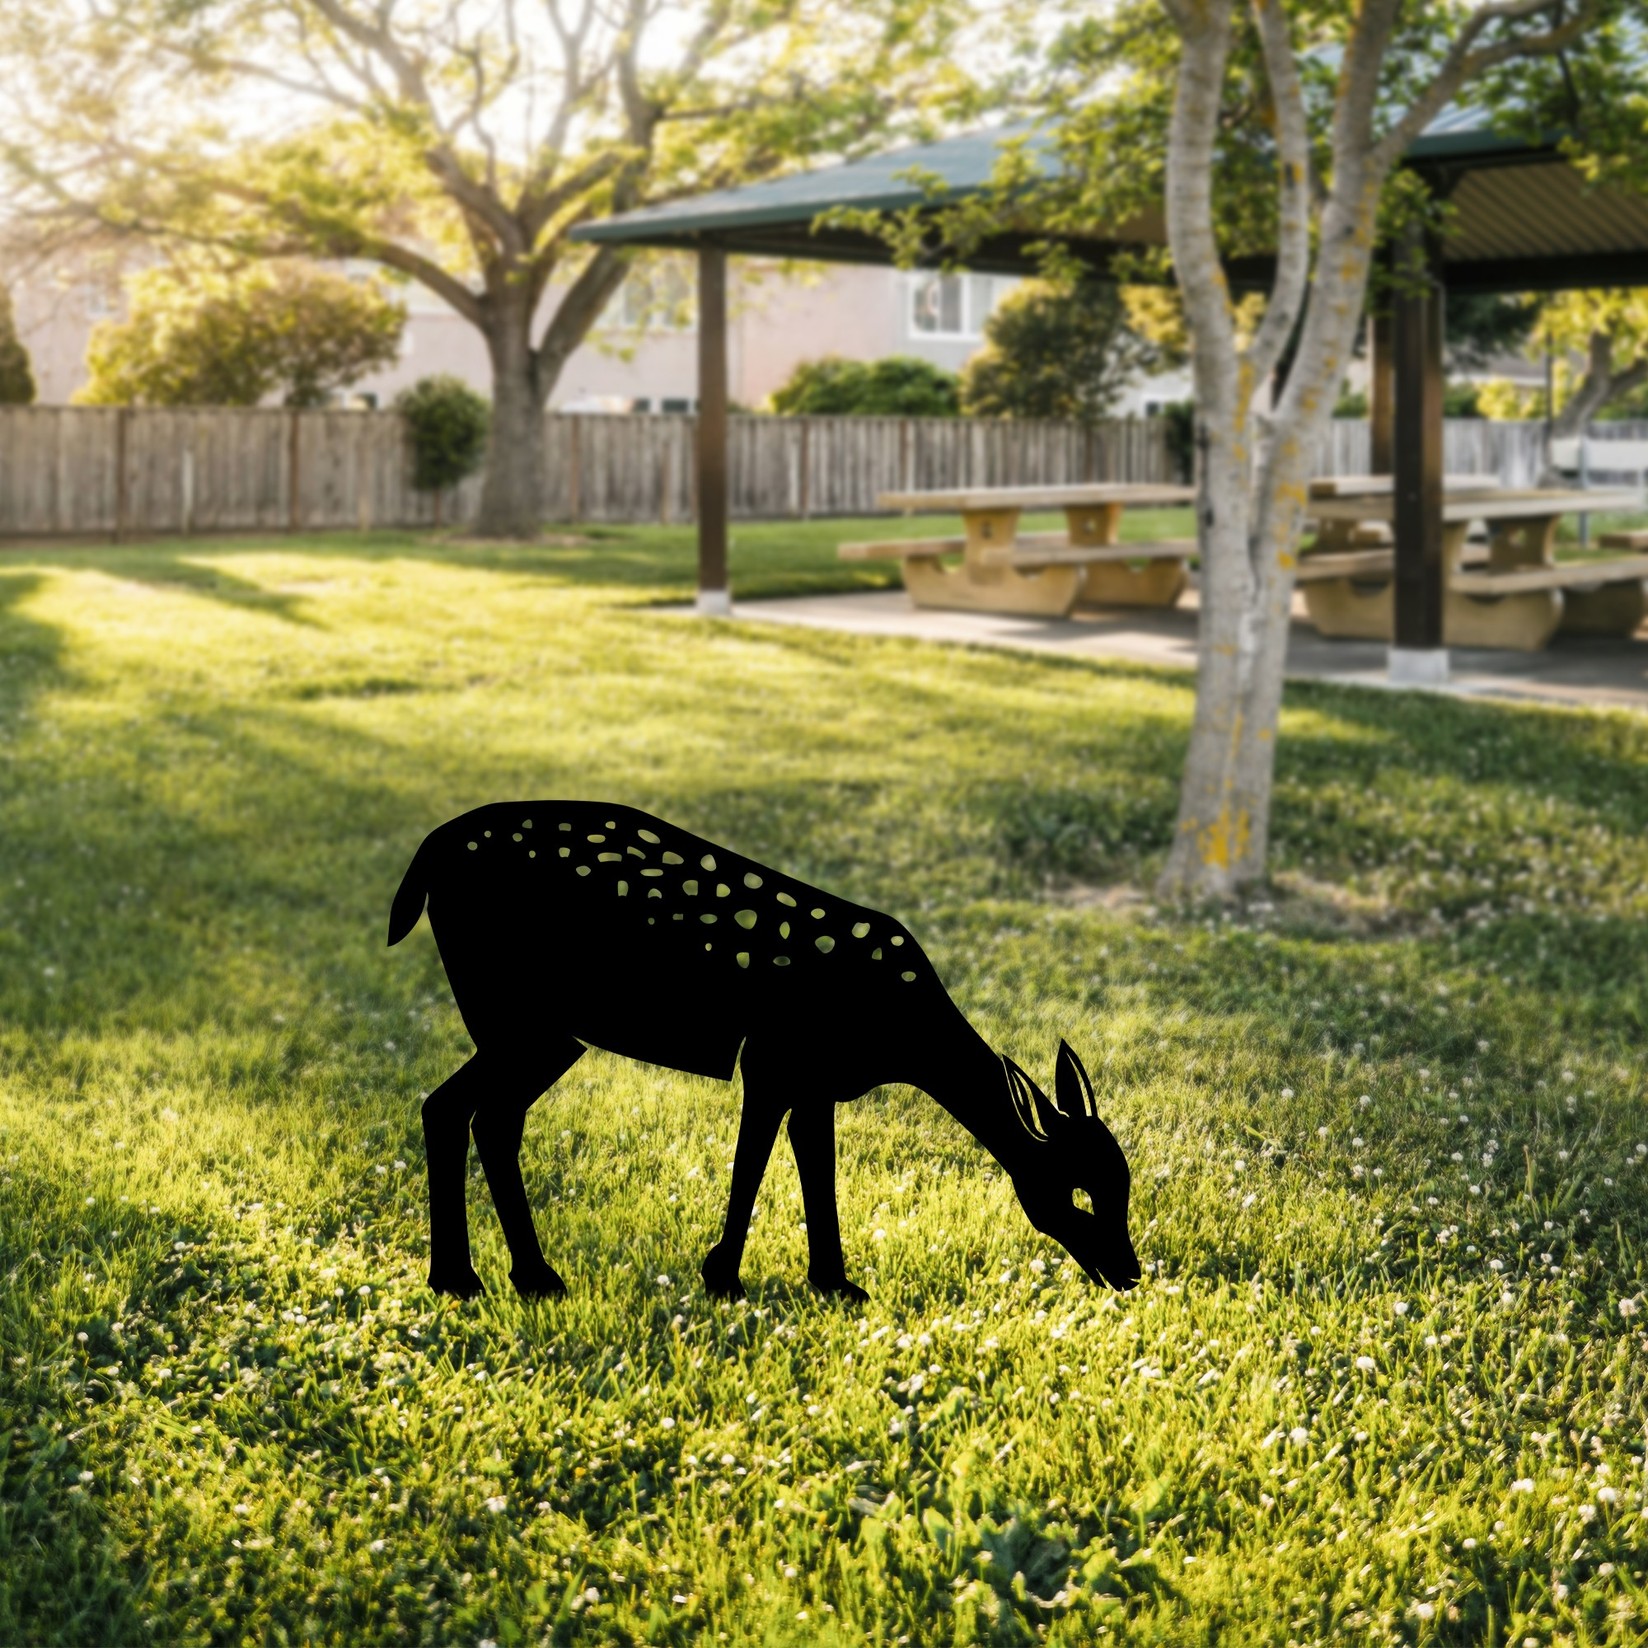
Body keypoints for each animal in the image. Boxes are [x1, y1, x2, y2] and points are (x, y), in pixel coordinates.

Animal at [388, 801, 1139, 1301]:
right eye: (1078, 1190)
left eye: (1125, 1187)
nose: (1131, 1273)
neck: (898, 1034)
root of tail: (422, 861)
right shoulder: (773, 1058)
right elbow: (753, 1161)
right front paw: (722, 1277)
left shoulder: (816, 1079)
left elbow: (815, 1166)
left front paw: (835, 1284)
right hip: (516, 1013)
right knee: (454, 1108)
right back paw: (471, 1279)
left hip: (542, 1032)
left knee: (483, 1116)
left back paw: (516, 1277)